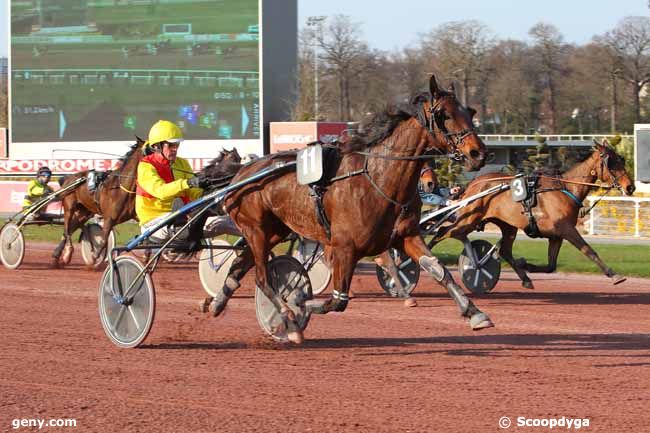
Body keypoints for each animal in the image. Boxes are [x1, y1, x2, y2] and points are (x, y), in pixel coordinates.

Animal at [432, 140, 632, 288]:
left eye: (621, 159)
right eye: (612, 162)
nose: (630, 187)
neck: (565, 188)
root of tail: (473, 184)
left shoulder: (556, 235)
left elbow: (551, 266)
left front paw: (525, 264)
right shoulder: (567, 229)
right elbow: (588, 250)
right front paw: (614, 275)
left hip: (507, 225)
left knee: (504, 250)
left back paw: (523, 278)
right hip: (469, 218)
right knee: (444, 232)